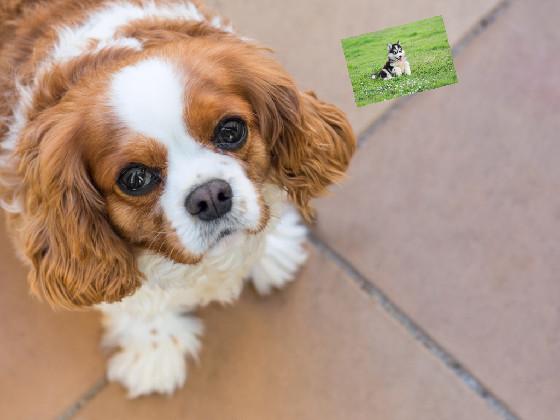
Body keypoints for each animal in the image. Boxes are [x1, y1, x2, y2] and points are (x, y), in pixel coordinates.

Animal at [1, 0, 354, 396]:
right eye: (135, 179)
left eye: (231, 130)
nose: (211, 196)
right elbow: (132, 302)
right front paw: (155, 347)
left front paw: (273, 248)